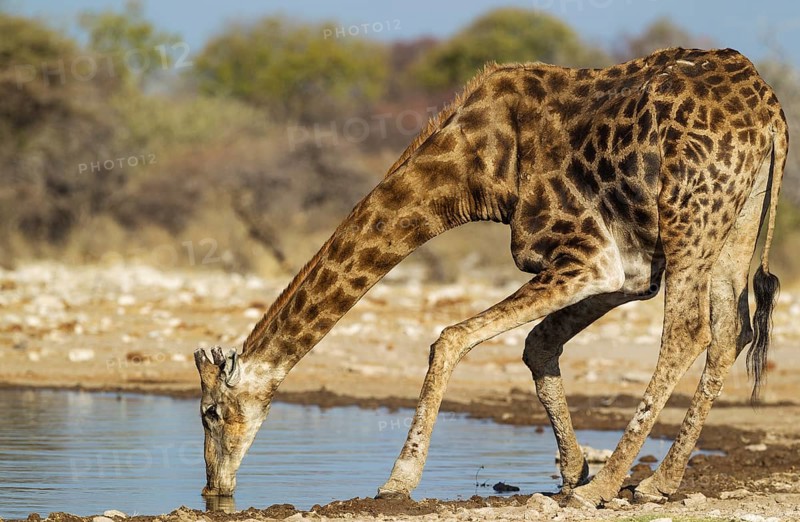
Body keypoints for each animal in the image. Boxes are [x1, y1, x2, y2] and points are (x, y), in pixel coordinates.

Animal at [195, 47, 788, 507]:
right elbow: (537, 344)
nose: (213, 488)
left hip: (692, 219)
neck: (475, 172)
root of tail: (773, 116)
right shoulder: (629, 270)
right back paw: (658, 482)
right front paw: (572, 469)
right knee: (730, 331)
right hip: (732, 224)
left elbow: (449, 338)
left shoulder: (590, 256)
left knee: (687, 332)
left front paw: (397, 483)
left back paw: (608, 489)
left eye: (210, 413)